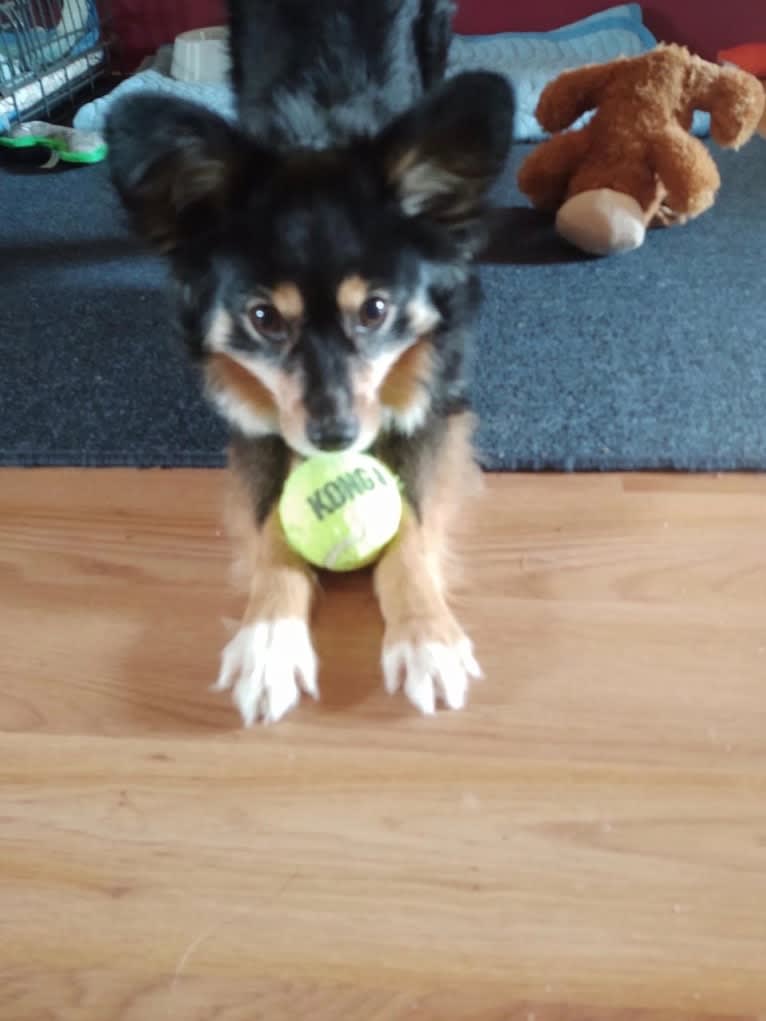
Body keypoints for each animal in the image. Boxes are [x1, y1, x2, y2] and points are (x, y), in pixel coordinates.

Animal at [105, 0, 516, 726]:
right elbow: (273, 525)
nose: (334, 438)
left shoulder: (439, 400)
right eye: (264, 318)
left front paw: (426, 637)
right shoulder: (258, 420)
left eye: (376, 310)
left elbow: (410, 521)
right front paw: (269, 637)